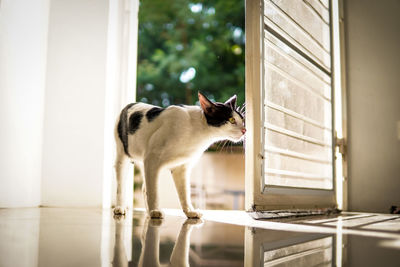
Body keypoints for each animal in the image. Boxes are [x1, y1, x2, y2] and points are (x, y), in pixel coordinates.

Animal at [112, 91, 244, 218]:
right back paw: (120, 208)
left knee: (145, 188)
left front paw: (190, 212)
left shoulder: (181, 168)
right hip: (123, 157)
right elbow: (154, 190)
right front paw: (156, 211)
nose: (245, 130)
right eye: (232, 120)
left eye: (242, 120)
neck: (195, 133)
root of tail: (130, 104)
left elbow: (184, 193)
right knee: (121, 186)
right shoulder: (152, 159)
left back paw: (148, 212)